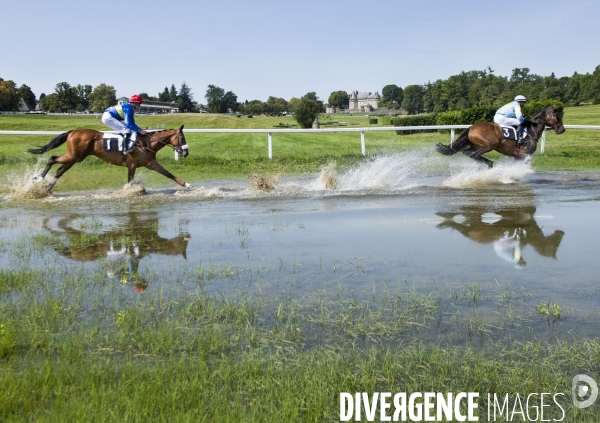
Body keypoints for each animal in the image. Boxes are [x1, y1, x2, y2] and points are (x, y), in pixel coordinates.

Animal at [27, 125, 192, 190]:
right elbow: (130, 180)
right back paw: (39, 178)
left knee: (59, 171)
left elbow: (168, 174)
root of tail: (73, 132)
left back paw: (47, 189)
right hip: (73, 156)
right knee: (52, 159)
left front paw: (186, 185)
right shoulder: (132, 165)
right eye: (182, 137)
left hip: (75, 158)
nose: (185, 153)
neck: (146, 143)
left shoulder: (149, 163)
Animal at [434, 106, 564, 169]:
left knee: (466, 152)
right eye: (557, 116)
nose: (562, 129)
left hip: (475, 145)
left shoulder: (519, 156)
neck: (531, 131)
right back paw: (489, 164)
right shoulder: (524, 155)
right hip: (489, 145)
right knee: (474, 155)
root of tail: (471, 128)